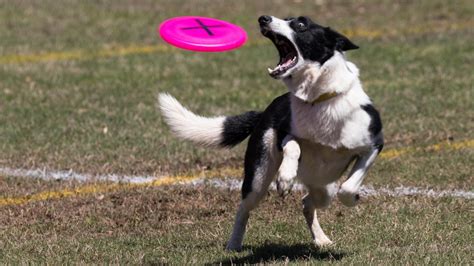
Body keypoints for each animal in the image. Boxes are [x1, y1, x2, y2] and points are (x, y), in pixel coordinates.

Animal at [158, 15, 382, 250]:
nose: (263, 18)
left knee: (308, 202)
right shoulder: (282, 131)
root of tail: (265, 110)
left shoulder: (374, 144)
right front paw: (285, 178)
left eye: (301, 25)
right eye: (286, 18)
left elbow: (348, 187)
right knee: (245, 207)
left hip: (324, 188)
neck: (318, 99)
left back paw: (321, 239)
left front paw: (353, 198)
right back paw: (234, 244)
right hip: (259, 177)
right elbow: (293, 146)